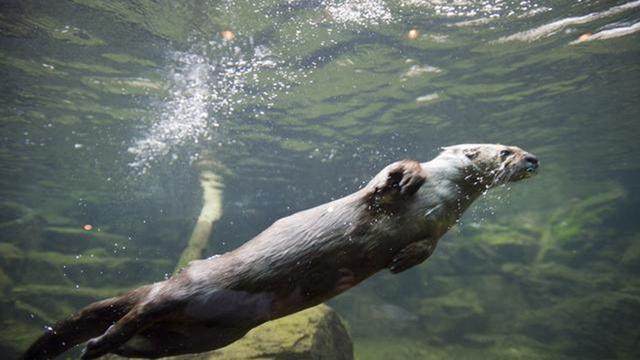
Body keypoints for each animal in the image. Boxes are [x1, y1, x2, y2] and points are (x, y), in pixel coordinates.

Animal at [22, 142, 536, 358]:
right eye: (506, 150)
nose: (533, 158)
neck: (442, 195)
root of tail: (176, 276)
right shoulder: (392, 193)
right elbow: (387, 179)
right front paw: (403, 176)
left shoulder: (442, 226)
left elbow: (429, 246)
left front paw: (404, 260)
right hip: (187, 291)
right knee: (135, 314)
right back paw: (96, 343)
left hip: (206, 336)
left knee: (145, 341)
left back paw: (103, 349)